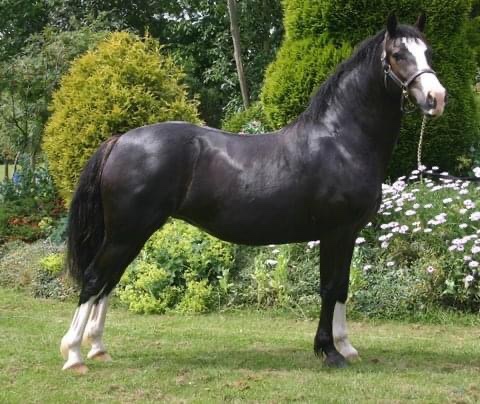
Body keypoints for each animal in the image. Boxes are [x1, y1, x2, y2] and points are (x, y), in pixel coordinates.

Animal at [60, 13, 446, 373]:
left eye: (428, 52)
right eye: (398, 54)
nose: (436, 98)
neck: (341, 140)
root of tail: (120, 139)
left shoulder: (349, 233)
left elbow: (342, 287)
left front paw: (346, 347)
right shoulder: (334, 232)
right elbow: (329, 287)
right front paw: (329, 351)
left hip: (129, 234)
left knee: (109, 282)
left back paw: (98, 348)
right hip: (126, 233)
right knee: (95, 279)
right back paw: (75, 354)